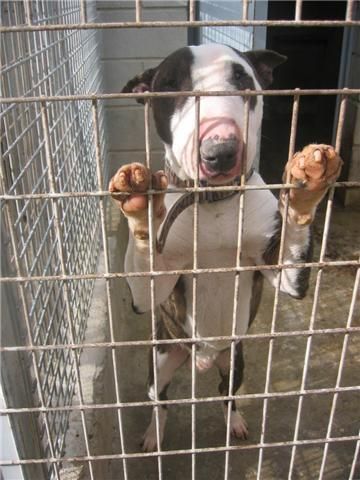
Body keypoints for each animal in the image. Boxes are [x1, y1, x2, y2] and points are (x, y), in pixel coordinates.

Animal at [109, 43, 344, 452]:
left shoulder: (284, 270)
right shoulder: (148, 289)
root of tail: (202, 360)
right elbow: (145, 259)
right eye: (168, 86)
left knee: (227, 393)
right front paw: (139, 201)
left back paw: (234, 423)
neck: (213, 202)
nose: (220, 152)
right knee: (161, 400)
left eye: (243, 78)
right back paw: (154, 434)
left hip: (235, 359)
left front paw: (306, 184)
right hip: (161, 359)